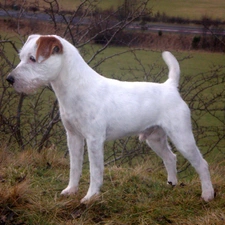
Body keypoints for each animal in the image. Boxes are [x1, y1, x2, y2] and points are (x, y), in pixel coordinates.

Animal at [7, 34, 214, 203]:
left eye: (32, 58)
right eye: (22, 57)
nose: (9, 79)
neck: (76, 88)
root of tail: (170, 87)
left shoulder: (94, 140)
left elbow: (95, 171)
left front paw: (90, 197)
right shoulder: (73, 137)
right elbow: (75, 167)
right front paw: (71, 190)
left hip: (182, 137)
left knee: (202, 164)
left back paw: (207, 195)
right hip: (155, 139)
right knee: (170, 158)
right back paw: (171, 184)